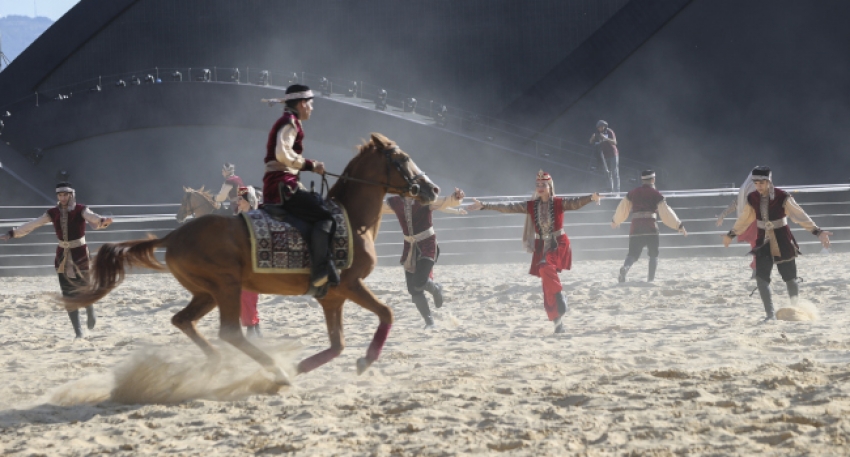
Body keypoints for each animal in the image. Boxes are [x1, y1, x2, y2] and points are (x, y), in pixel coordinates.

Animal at [66, 134, 438, 384]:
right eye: (403, 159)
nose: (432, 189)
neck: (349, 217)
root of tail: (175, 235)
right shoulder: (350, 285)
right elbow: (386, 313)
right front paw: (366, 359)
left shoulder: (332, 297)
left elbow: (338, 345)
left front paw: (304, 366)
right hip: (226, 288)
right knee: (230, 332)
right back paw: (273, 369)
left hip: (207, 293)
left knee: (183, 320)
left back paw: (223, 362)